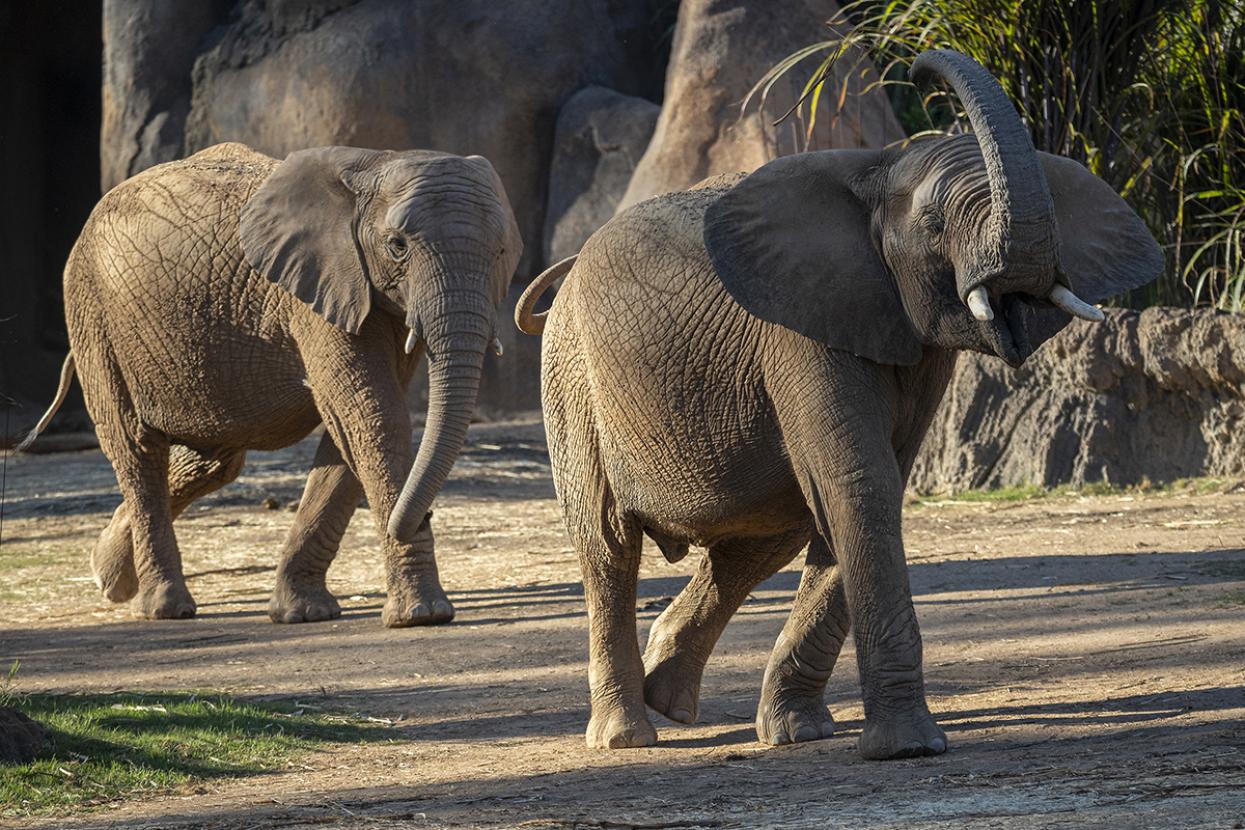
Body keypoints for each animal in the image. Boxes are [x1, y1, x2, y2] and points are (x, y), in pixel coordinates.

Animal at [20, 142, 521, 625]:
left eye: (501, 252)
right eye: (397, 245)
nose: (422, 517)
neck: (377, 163)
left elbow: (347, 435)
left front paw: (302, 613)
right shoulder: (319, 291)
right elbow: (373, 417)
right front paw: (422, 616)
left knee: (215, 460)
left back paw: (108, 576)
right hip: (93, 315)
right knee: (137, 447)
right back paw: (163, 606)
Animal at [515, 50, 1161, 758]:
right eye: (934, 224)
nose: (918, 62)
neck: (878, 170)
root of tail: (567, 269)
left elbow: (863, 492)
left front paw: (798, 732)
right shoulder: (797, 330)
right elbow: (860, 484)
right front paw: (908, 749)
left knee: (767, 534)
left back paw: (670, 698)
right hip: (571, 377)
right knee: (608, 544)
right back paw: (626, 736)